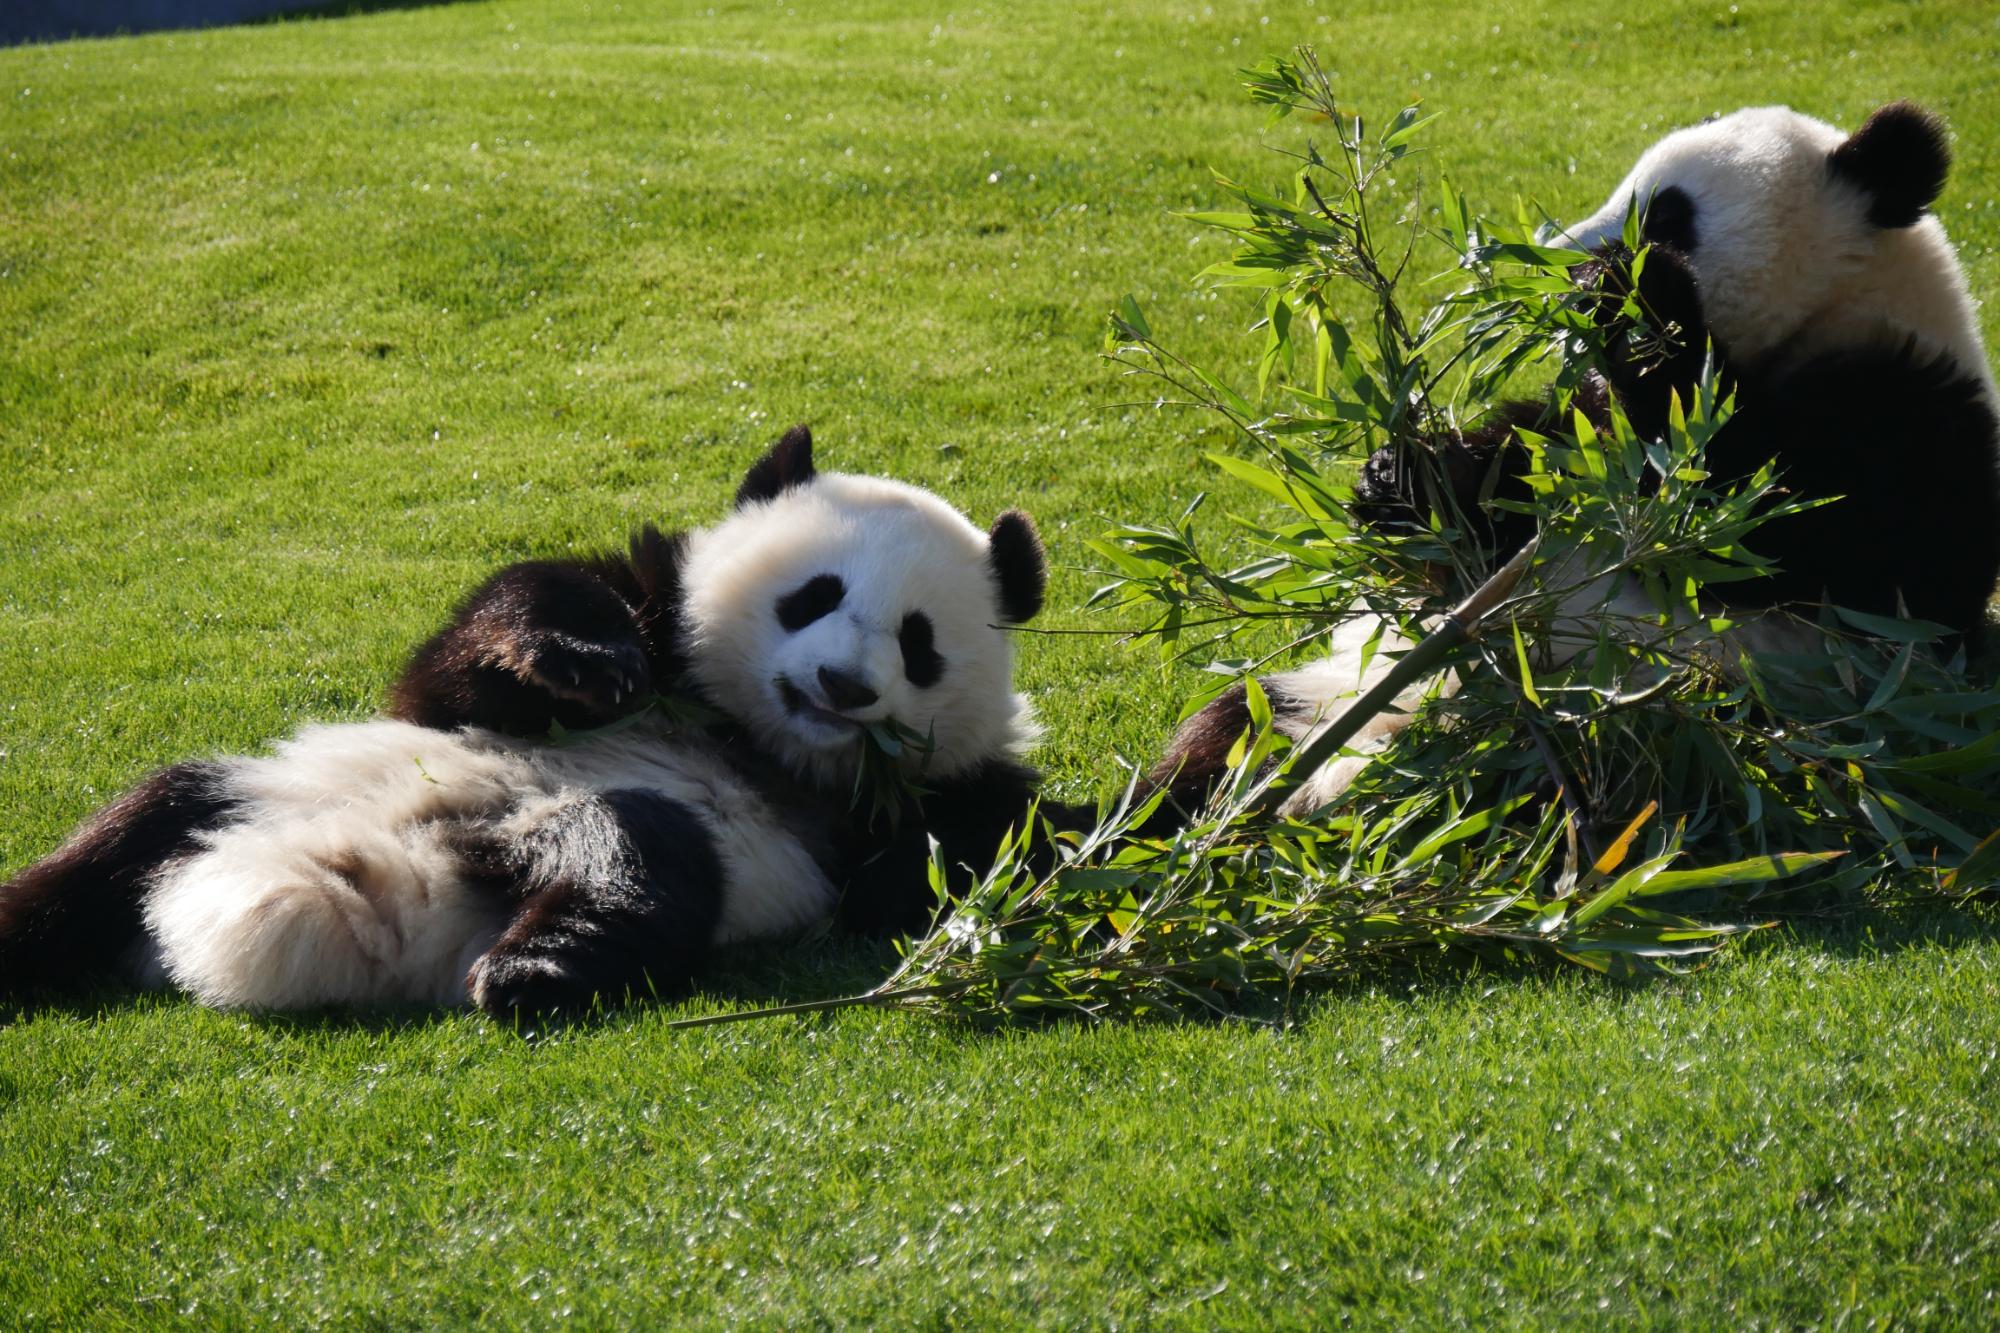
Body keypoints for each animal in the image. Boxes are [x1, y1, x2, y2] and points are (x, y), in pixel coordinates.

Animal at [0, 430, 1064, 1012]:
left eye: (918, 644)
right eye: (813, 596)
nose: (841, 686)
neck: (757, 742)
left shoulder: (926, 803)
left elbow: (991, 853)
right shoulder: (649, 612)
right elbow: (463, 667)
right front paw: (582, 662)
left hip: (612, 837)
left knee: (636, 854)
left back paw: (532, 971)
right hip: (266, 788)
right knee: (130, 832)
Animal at [1152, 101, 2000, 808]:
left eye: (1666, 213)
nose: (1554, 261)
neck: (1830, 309)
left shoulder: (1905, 424)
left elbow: (1760, 524)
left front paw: (1632, 292)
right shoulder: (1586, 425)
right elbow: (1522, 474)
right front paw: (1400, 477)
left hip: (1636, 725)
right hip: (1329, 686)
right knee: (1222, 728)